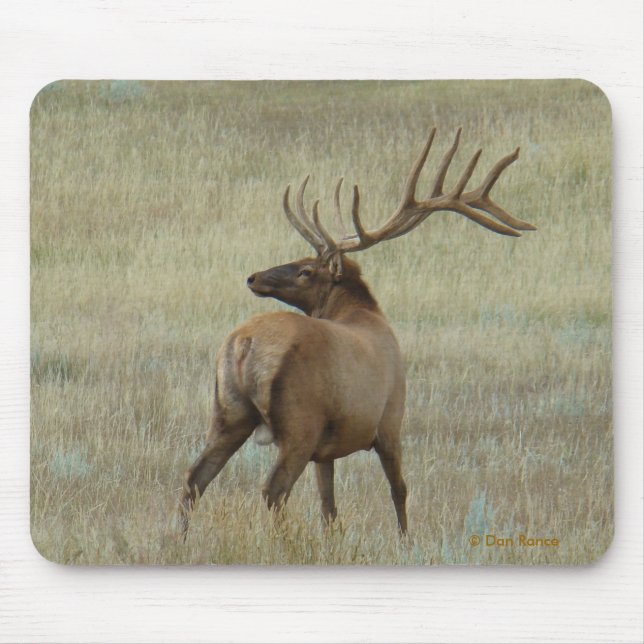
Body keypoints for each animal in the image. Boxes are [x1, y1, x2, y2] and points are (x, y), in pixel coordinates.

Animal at [178, 128, 535, 537]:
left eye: (305, 269)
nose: (253, 277)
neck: (364, 312)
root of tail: (243, 344)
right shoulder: (390, 418)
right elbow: (399, 490)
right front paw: (405, 540)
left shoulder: (326, 449)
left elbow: (329, 507)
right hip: (299, 422)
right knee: (273, 489)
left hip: (229, 412)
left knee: (195, 478)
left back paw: (179, 539)